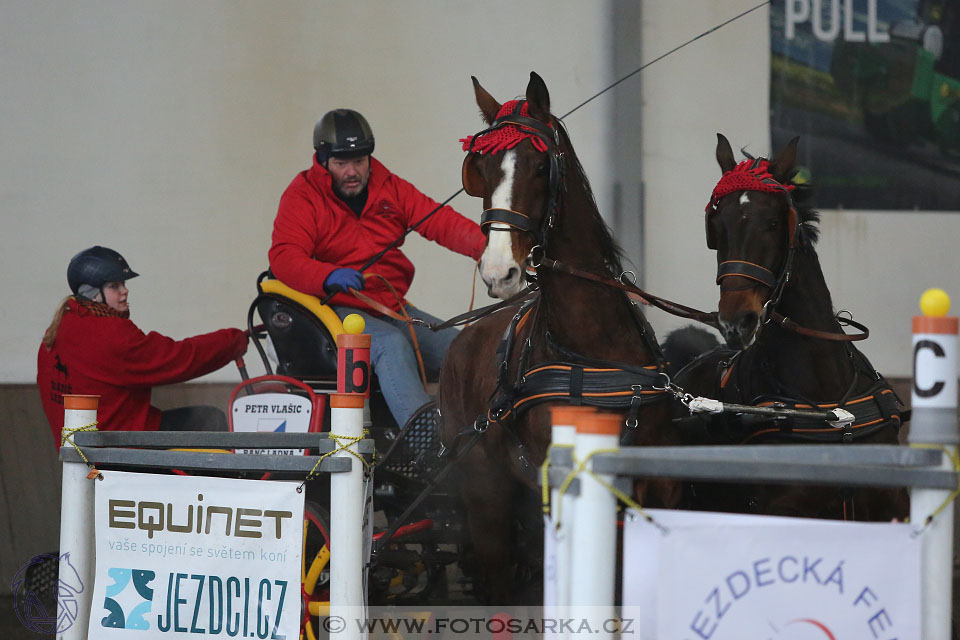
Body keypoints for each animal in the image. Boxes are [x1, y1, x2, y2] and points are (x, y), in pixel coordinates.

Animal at [438, 72, 680, 604]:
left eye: (540, 165)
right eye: (481, 167)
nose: (499, 272)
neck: (592, 352)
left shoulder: (655, 486)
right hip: (486, 494)